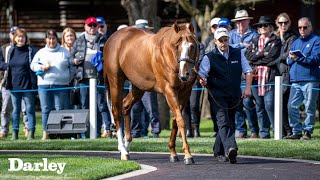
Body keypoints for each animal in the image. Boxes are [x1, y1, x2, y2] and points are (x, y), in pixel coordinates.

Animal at [103, 21, 198, 164]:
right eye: (177, 46)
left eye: (192, 46)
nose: (184, 74)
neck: (168, 56)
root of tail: (112, 38)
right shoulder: (169, 91)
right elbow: (181, 120)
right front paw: (187, 155)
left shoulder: (185, 92)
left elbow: (176, 120)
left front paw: (173, 153)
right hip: (115, 82)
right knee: (116, 112)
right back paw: (123, 151)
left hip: (138, 87)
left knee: (125, 106)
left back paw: (126, 144)